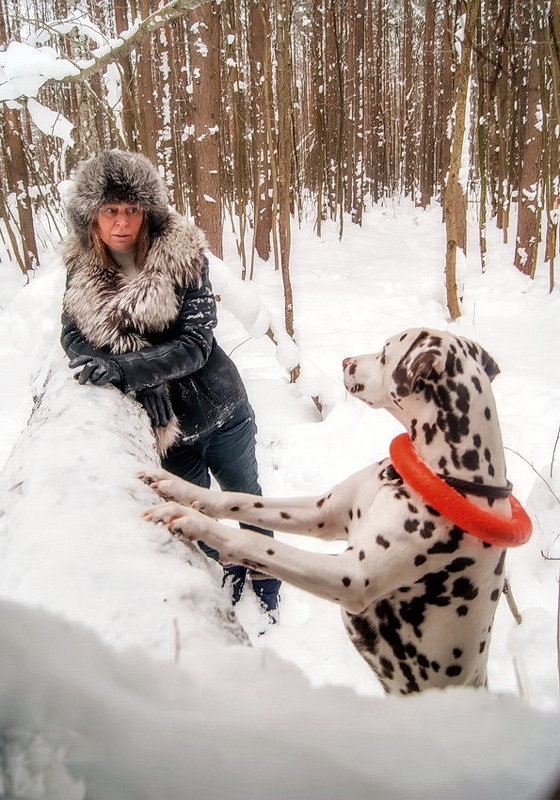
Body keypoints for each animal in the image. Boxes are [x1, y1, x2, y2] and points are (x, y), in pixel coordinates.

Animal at [141, 328, 512, 696]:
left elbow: (258, 544)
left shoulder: (350, 576)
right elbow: (241, 501)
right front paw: (180, 489)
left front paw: (192, 521)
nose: (346, 361)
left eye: (384, 353)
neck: (429, 474)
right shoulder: (321, 511)